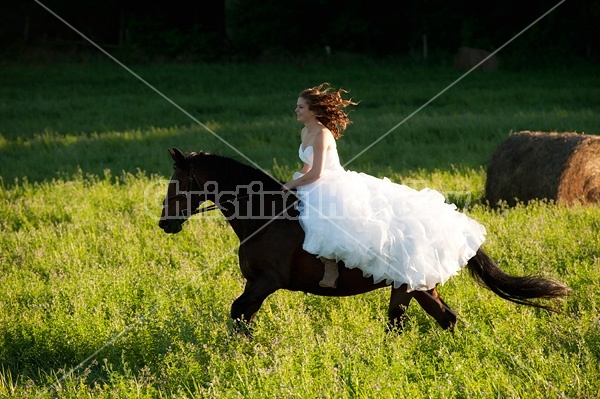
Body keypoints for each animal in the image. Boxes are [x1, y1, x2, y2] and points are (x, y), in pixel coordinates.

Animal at [158, 147, 568, 334]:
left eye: (177, 182)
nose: (164, 223)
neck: (262, 214)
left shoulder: (267, 281)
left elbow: (238, 311)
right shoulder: (256, 283)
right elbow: (243, 315)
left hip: (411, 287)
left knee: (416, 323)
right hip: (415, 287)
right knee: (436, 320)